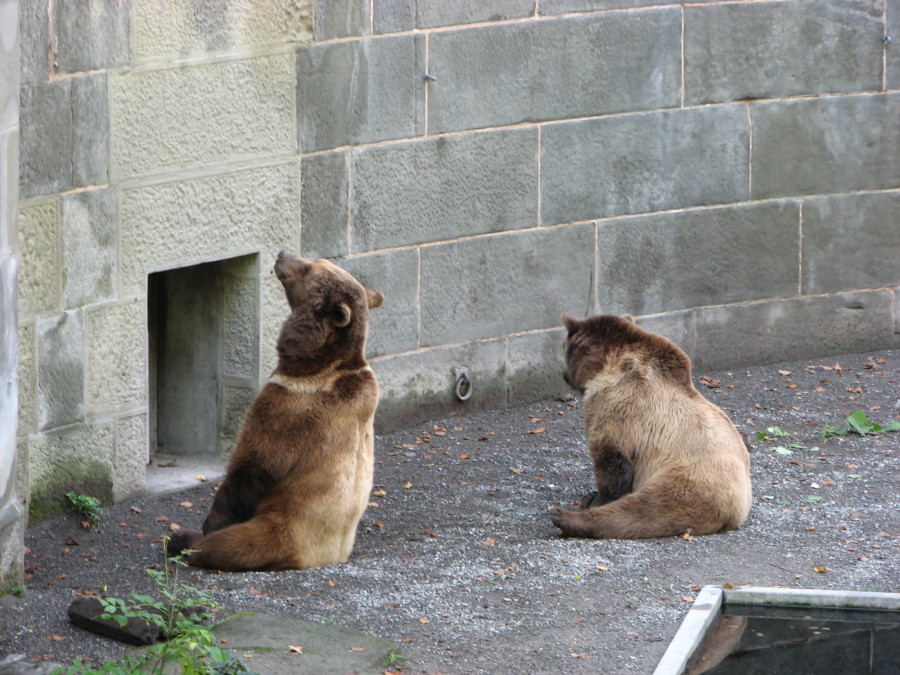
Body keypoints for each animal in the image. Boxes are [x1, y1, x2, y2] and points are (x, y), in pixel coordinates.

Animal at [168, 250, 384, 571]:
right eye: (316, 260)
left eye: (307, 269)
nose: (283, 254)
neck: (318, 366)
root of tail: (315, 558)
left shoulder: (288, 408)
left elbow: (255, 463)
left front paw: (211, 521)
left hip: (276, 527)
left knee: (226, 545)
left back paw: (183, 539)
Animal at [549, 313, 751, 539]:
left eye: (563, 346)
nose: (564, 375)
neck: (608, 365)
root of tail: (738, 511)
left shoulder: (618, 408)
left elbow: (612, 464)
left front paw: (598, 498)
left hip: (689, 479)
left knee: (645, 510)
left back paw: (564, 517)